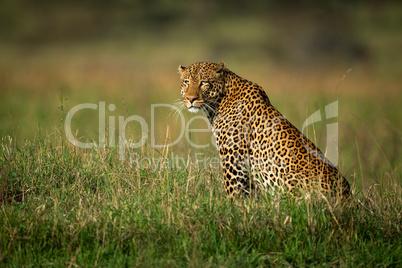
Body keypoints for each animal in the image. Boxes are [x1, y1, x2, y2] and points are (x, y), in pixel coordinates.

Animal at [177, 61, 350, 199]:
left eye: (204, 82)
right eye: (186, 82)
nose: (190, 99)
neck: (218, 102)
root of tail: (347, 198)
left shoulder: (233, 160)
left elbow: (233, 193)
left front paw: (231, 210)